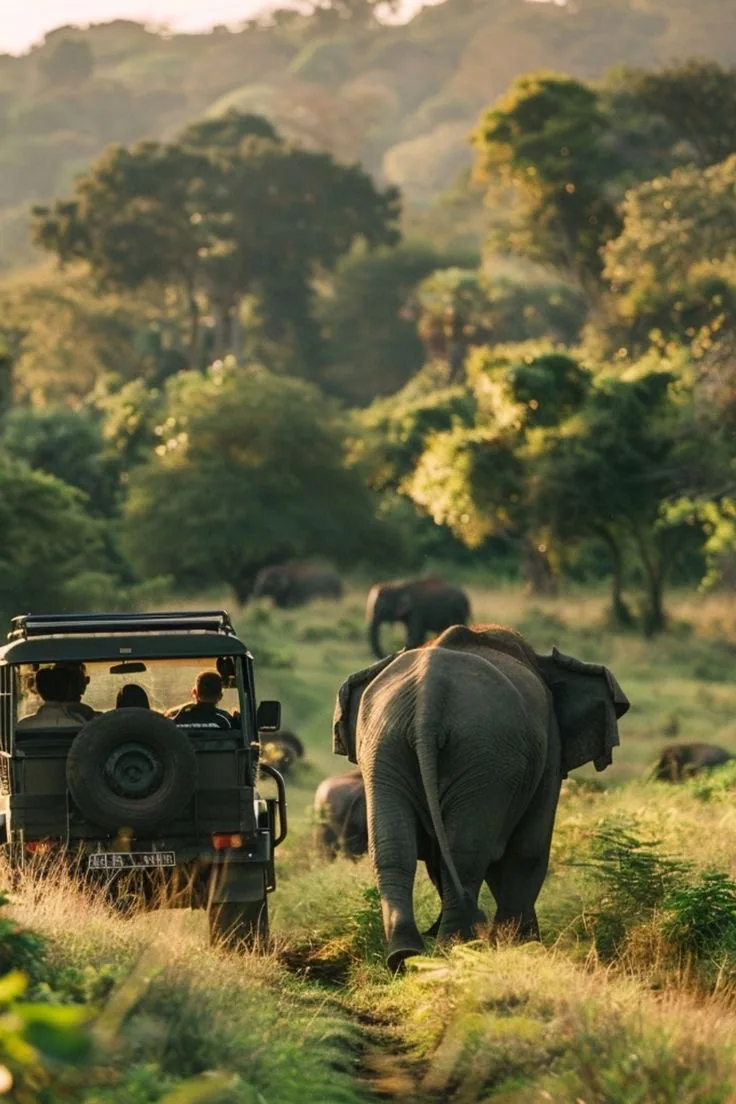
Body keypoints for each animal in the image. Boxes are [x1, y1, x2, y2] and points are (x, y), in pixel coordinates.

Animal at [332, 624, 629, 972]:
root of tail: (427, 701)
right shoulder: (550, 746)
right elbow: (528, 848)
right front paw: (519, 946)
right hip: (484, 753)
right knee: (467, 852)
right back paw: (454, 947)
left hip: (387, 746)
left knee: (395, 850)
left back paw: (406, 954)